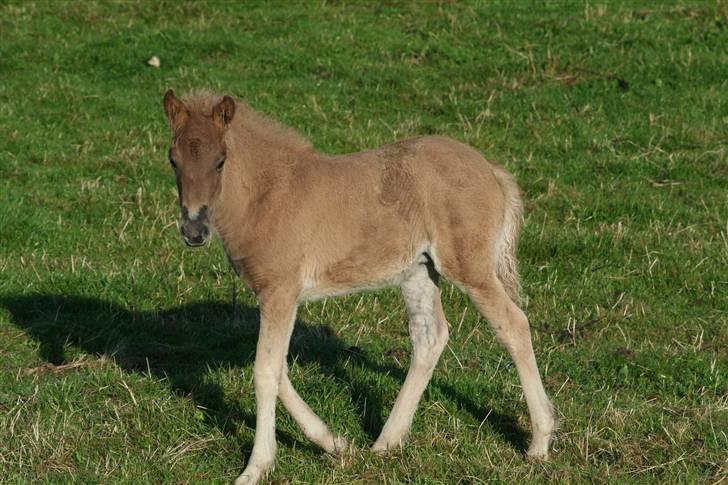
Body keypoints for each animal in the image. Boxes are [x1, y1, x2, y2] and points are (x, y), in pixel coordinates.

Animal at [162, 89, 556, 482]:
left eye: (220, 161)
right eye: (173, 160)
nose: (194, 231)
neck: (267, 194)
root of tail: (491, 169)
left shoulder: (281, 292)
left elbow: (265, 372)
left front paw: (256, 467)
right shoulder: (273, 296)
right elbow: (277, 369)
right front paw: (337, 445)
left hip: (468, 266)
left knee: (514, 325)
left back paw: (539, 443)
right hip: (418, 270)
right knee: (430, 336)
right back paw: (385, 443)